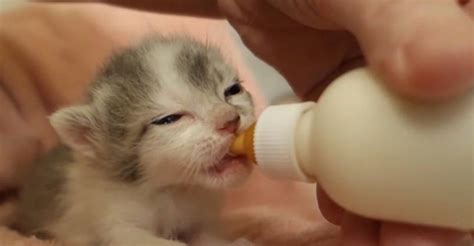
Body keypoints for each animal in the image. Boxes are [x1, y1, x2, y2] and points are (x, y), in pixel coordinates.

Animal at [11, 36, 256, 246]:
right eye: (169, 119)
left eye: (233, 90)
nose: (231, 120)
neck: (173, 191)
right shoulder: (113, 224)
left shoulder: (198, 220)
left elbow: (205, 237)